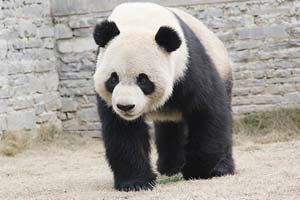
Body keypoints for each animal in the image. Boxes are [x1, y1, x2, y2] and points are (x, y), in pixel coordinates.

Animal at [93, 2, 234, 191]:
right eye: (113, 79)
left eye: (143, 80)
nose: (125, 107)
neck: (138, 19)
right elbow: (123, 131)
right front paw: (136, 182)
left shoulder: (188, 66)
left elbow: (207, 111)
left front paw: (198, 170)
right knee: (169, 128)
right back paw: (170, 167)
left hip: (222, 68)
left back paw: (222, 168)